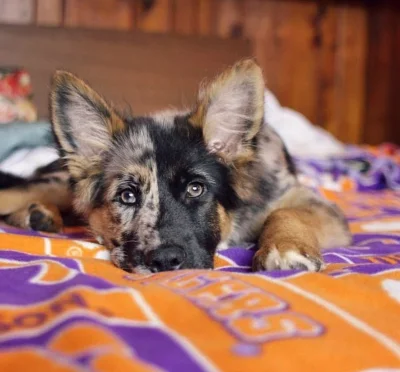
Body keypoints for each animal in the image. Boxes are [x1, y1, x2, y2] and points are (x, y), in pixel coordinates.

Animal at [0, 59, 352, 272]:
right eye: (127, 196)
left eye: (196, 189)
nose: (165, 262)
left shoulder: (315, 205)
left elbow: (285, 212)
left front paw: (285, 247)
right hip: (52, 184)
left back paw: (39, 215)